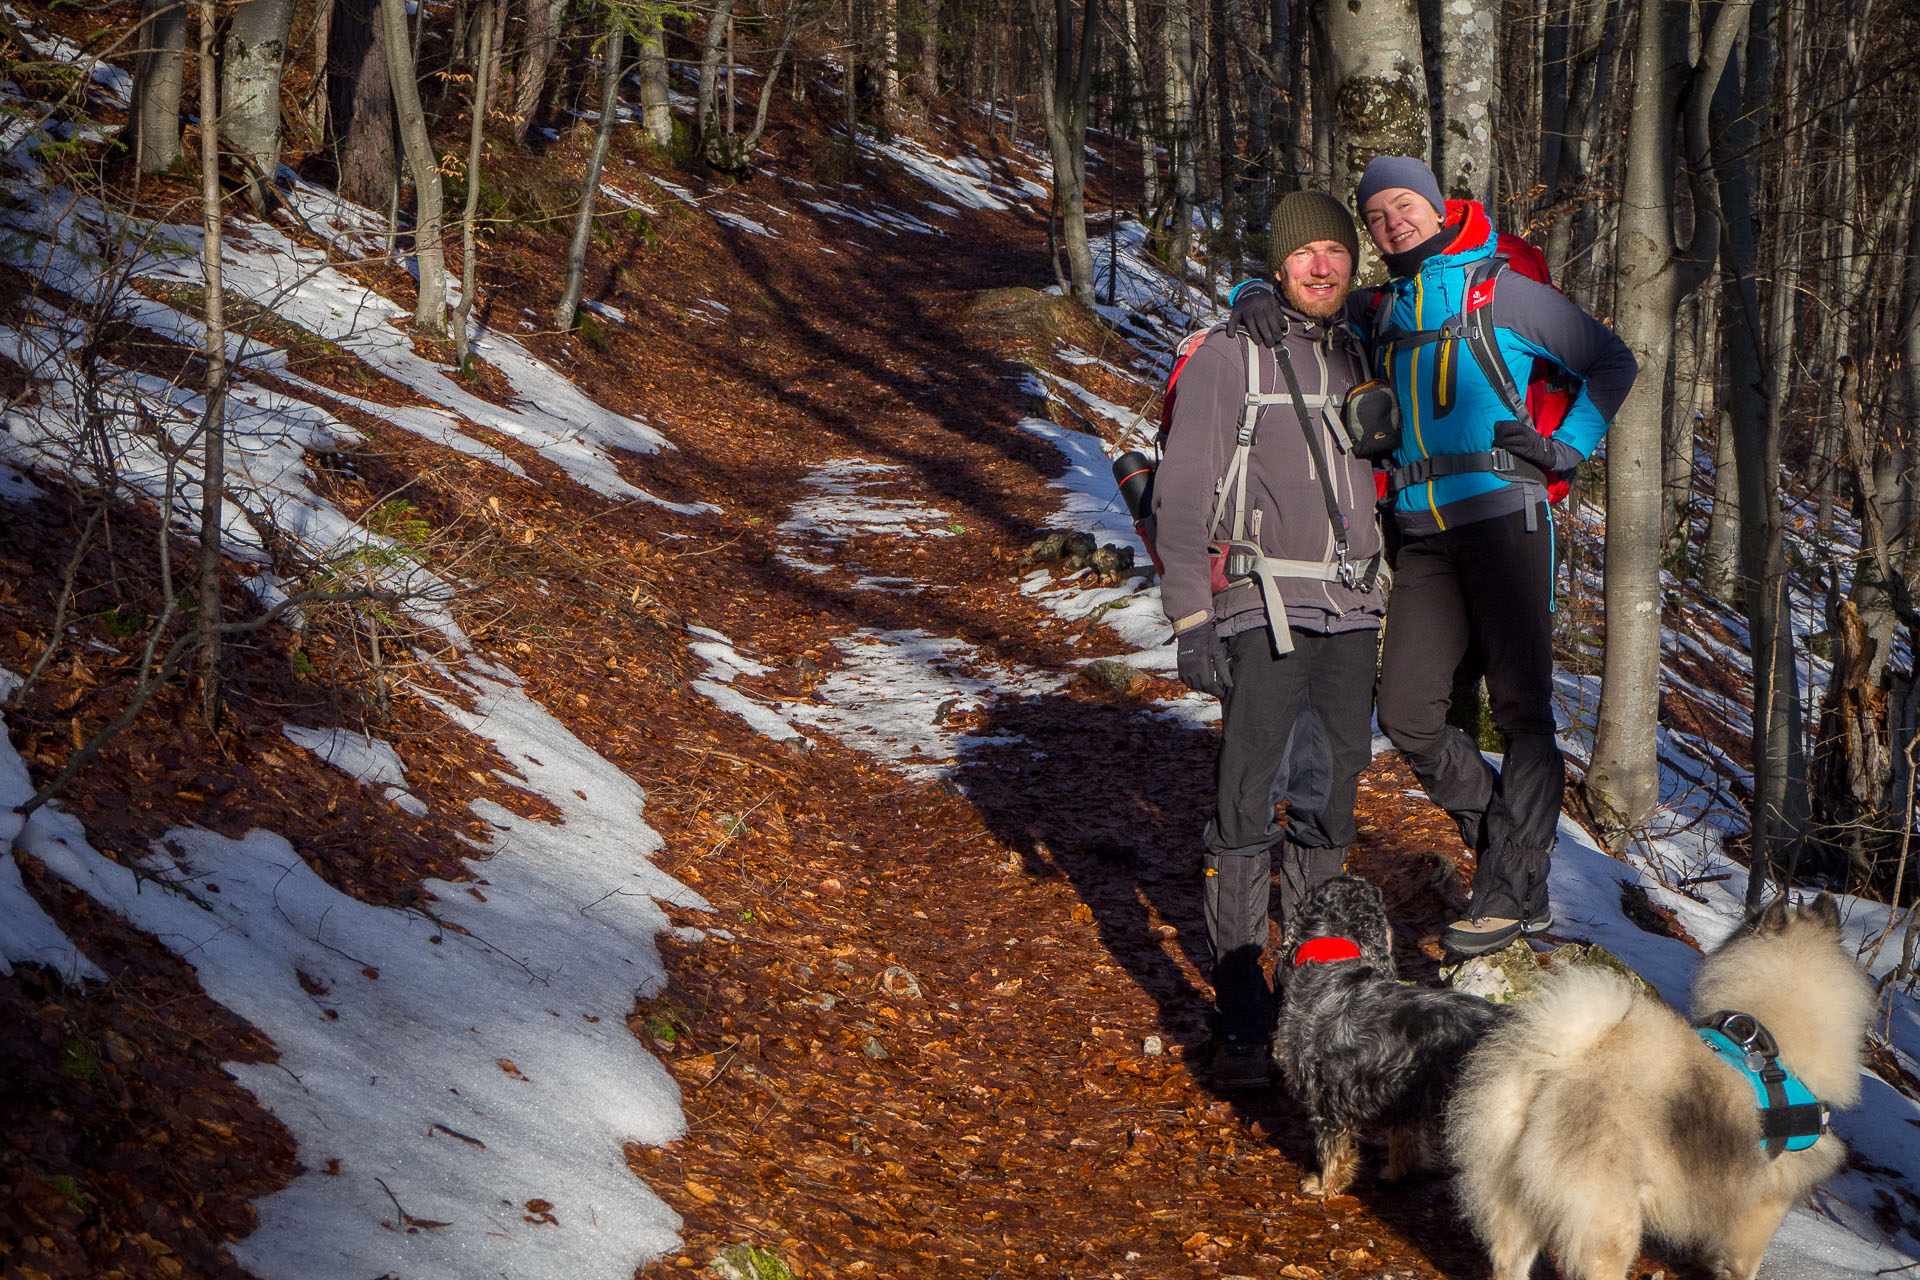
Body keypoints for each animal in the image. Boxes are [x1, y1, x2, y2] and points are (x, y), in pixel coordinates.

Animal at [1274, 875, 1512, 1197]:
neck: (1333, 966)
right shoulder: (1401, 1092)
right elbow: (1405, 1140)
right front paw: (1400, 1172)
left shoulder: (1325, 1091)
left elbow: (1333, 1149)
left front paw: (1324, 1185)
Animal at [1443, 890, 1866, 1280]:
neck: (1770, 1040)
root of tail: (1559, 1063)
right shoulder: (1761, 1210)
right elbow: (1745, 1266)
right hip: (1611, 1224)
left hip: (1513, 1198)